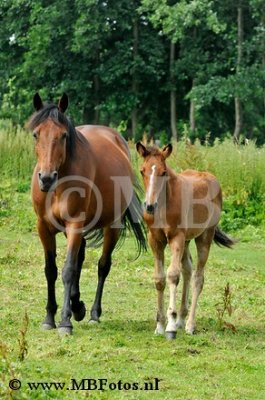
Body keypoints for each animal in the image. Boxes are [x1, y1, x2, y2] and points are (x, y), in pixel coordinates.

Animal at [27, 93, 145, 334]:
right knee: (80, 259)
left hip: (111, 226)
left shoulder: (74, 225)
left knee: (103, 266)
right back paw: (77, 305)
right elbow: (51, 270)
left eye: (63, 135)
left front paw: (64, 321)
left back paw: (92, 313)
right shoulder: (44, 227)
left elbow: (68, 270)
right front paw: (49, 317)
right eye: (36, 134)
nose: (46, 178)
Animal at [136, 142, 233, 340]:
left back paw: (189, 325)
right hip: (187, 241)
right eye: (142, 171)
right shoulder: (154, 239)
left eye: (164, 172)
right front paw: (160, 324)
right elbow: (159, 278)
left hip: (204, 237)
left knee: (198, 278)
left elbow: (173, 275)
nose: (149, 206)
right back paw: (182, 318)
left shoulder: (176, 238)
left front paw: (170, 325)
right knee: (187, 269)